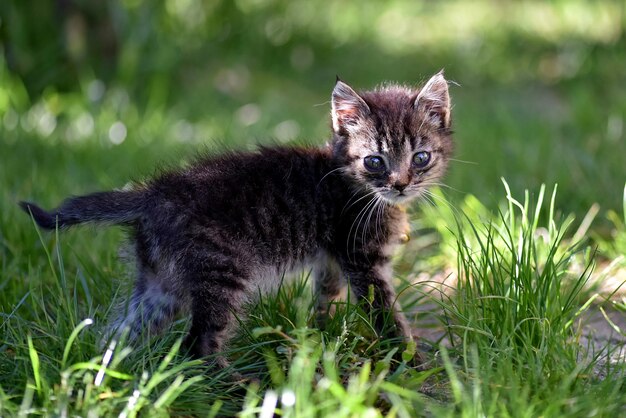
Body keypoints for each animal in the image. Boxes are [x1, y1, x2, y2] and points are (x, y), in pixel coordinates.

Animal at [18, 72, 448, 366]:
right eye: (375, 161)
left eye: (420, 157)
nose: (401, 185)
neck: (350, 180)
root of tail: (153, 194)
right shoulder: (363, 261)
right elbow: (387, 314)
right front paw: (410, 362)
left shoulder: (332, 261)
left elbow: (325, 301)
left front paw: (320, 341)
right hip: (222, 272)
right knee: (197, 345)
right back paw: (234, 385)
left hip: (161, 285)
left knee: (122, 330)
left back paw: (106, 370)